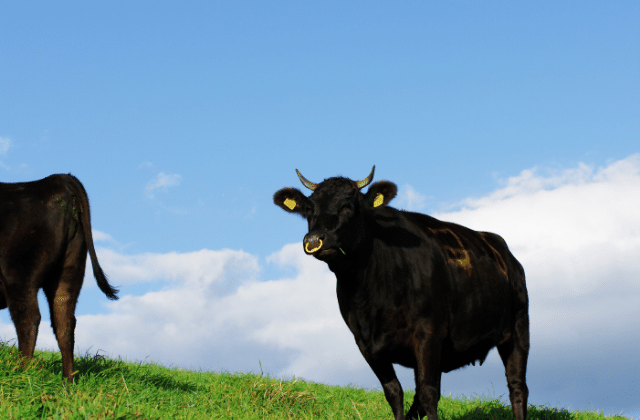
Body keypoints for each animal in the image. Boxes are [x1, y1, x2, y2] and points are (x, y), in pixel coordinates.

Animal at [0, 174, 118, 380]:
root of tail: (58, 179)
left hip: (18, 274)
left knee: (29, 319)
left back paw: (21, 374)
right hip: (69, 270)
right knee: (65, 322)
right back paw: (67, 382)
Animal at [276, 167, 528, 420]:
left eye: (347, 205)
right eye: (309, 209)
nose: (314, 240)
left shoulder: (429, 334)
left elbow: (428, 392)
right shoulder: (366, 344)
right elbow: (394, 392)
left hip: (517, 329)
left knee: (517, 387)